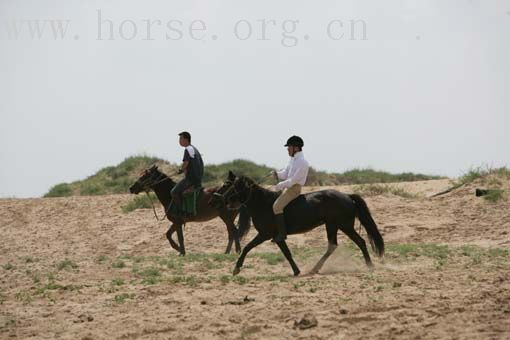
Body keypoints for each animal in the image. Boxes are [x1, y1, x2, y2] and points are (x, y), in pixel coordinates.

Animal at [210, 173, 382, 276]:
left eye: (228, 186)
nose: (214, 201)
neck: (262, 203)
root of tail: (347, 195)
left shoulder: (265, 234)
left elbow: (247, 247)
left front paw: (236, 268)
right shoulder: (277, 237)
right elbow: (287, 253)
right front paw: (297, 271)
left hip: (343, 226)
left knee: (359, 242)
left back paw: (370, 266)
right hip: (333, 226)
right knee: (333, 245)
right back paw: (315, 268)